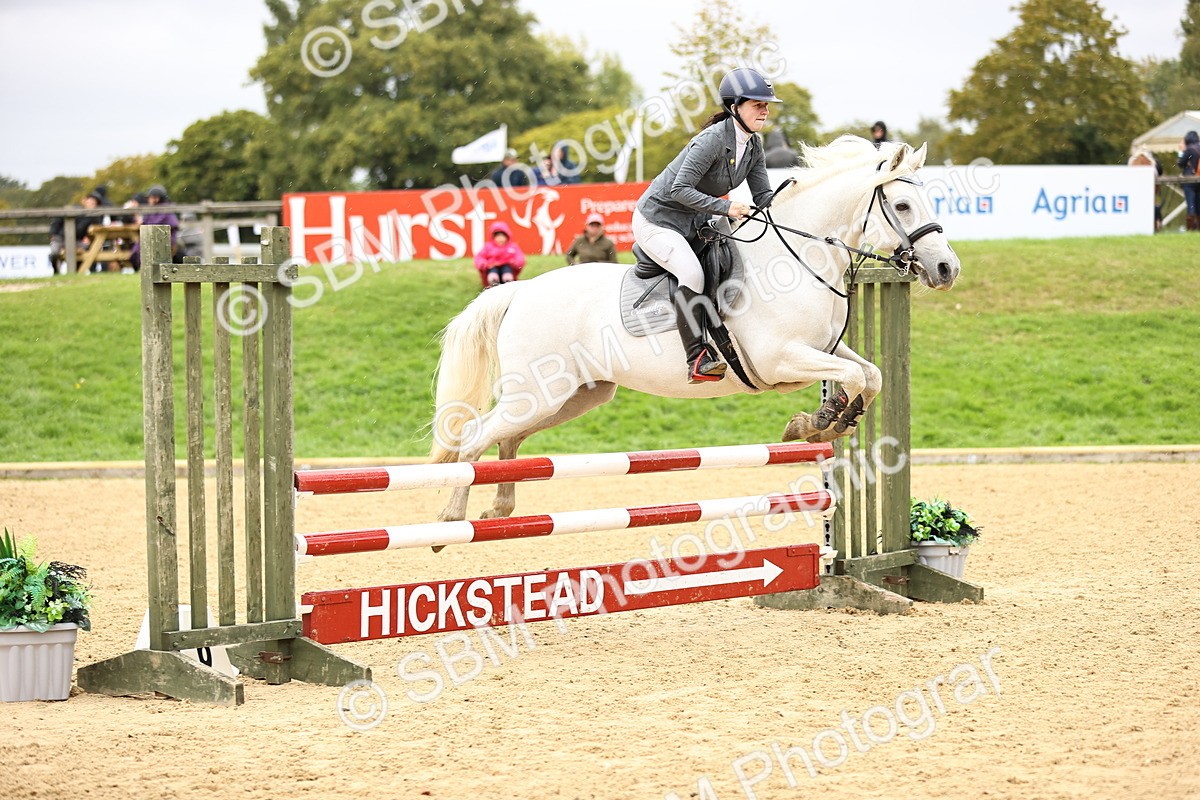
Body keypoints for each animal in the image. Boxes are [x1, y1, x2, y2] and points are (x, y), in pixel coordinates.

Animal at [429, 136, 960, 523]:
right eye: (904, 206)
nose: (947, 268)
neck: (799, 258)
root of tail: (519, 291)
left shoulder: (825, 348)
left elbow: (871, 375)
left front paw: (826, 420)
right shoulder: (780, 358)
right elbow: (852, 377)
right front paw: (819, 421)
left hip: (572, 396)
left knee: (508, 441)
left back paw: (500, 508)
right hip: (537, 393)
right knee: (474, 438)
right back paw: (451, 518)